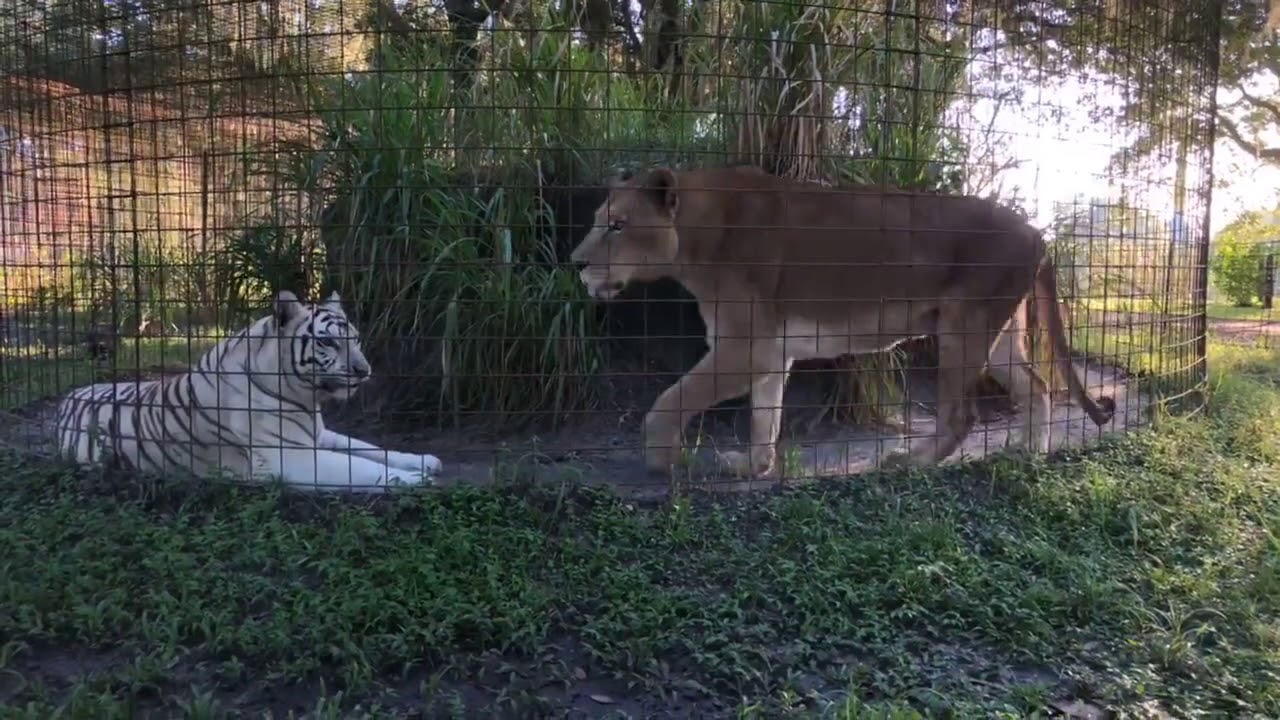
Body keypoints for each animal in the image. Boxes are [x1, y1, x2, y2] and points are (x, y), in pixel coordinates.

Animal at [53, 289, 443, 493]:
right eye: (329, 342)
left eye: (356, 339)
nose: (365, 371)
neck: (305, 397)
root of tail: (67, 397)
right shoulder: (290, 457)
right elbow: (355, 466)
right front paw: (415, 479)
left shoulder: (319, 436)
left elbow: (370, 449)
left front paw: (424, 460)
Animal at [568, 165, 1116, 479]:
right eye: (598, 220)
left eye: (617, 225)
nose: (576, 263)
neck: (697, 235)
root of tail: (1037, 231)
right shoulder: (769, 352)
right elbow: (765, 415)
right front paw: (752, 466)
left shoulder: (744, 347)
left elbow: (670, 400)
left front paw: (664, 459)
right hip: (998, 334)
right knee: (1037, 386)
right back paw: (1029, 453)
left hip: (964, 327)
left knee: (963, 414)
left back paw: (911, 464)